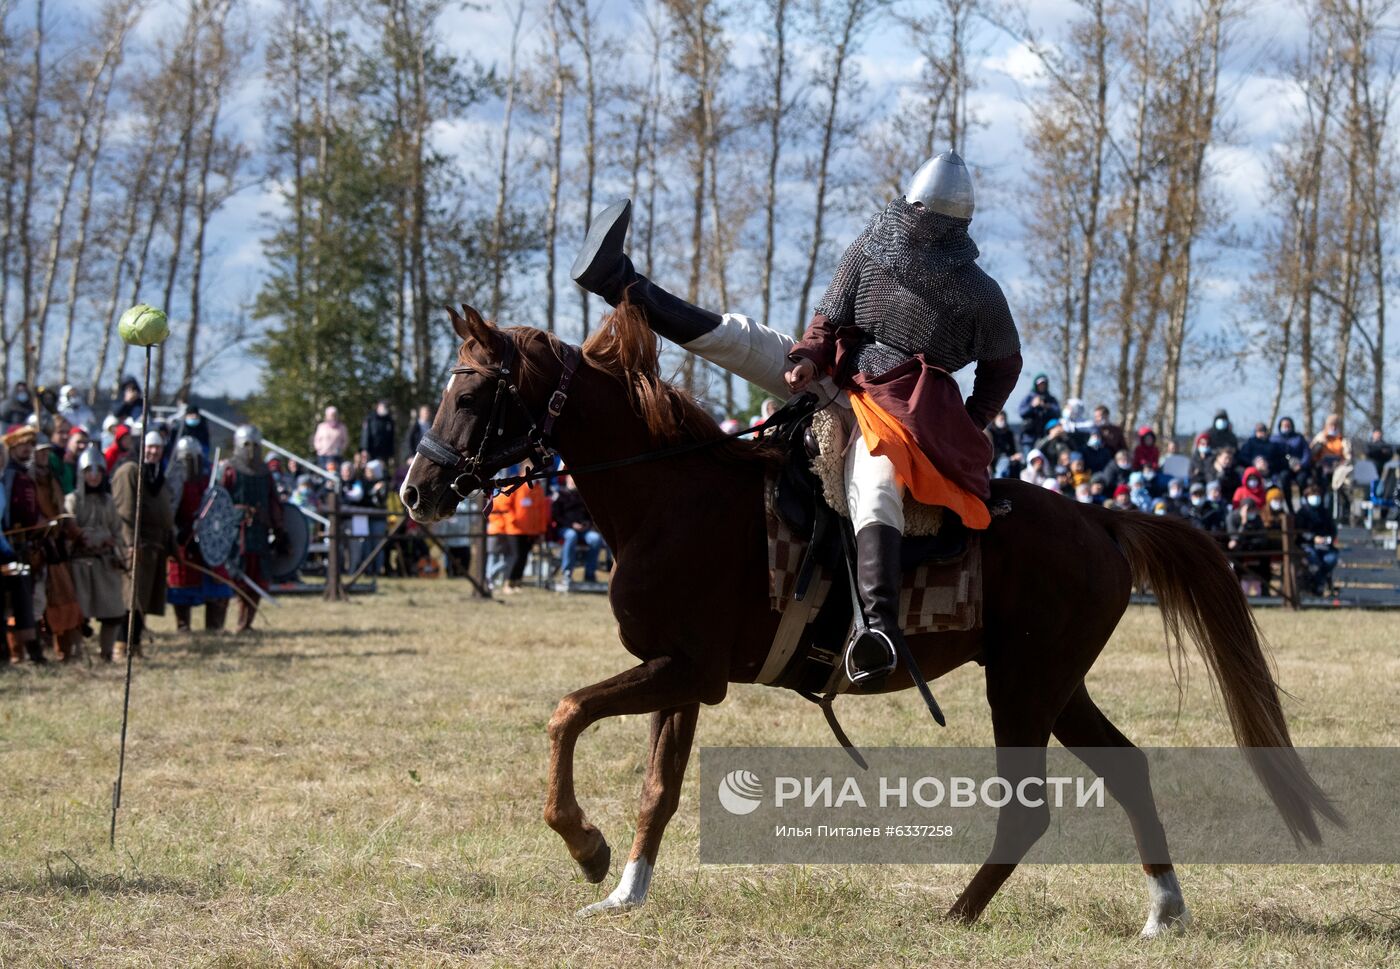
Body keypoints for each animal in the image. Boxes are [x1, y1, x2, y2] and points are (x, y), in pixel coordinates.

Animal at [400, 305, 1338, 940]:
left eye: (474, 391)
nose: (415, 490)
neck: (671, 496)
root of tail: (1099, 517)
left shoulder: (686, 672)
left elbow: (566, 714)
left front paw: (585, 844)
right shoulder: (682, 676)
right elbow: (657, 789)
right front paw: (623, 887)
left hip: (1024, 688)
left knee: (1030, 809)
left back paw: (958, 912)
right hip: (1053, 683)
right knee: (1129, 768)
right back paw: (1162, 907)